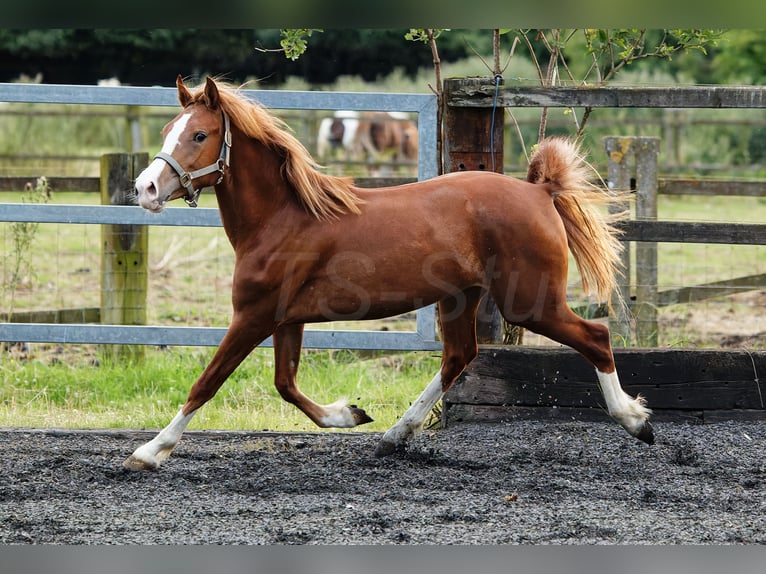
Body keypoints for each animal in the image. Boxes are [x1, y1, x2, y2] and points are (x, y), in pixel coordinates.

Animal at [126, 76, 656, 472]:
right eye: (169, 128)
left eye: (199, 135)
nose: (145, 188)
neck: (284, 218)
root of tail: (540, 191)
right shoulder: (286, 319)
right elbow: (286, 384)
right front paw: (351, 413)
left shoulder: (253, 316)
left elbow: (207, 383)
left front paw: (149, 452)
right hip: (461, 298)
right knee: (459, 357)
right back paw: (395, 435)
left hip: (530, 303)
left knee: (595, 337)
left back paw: (637, 421)